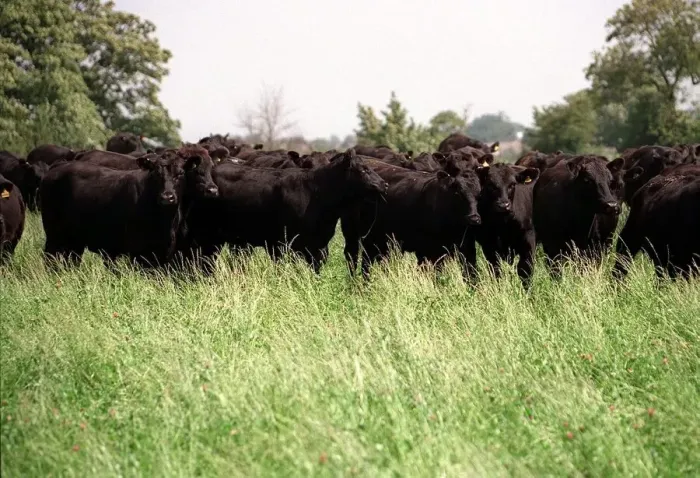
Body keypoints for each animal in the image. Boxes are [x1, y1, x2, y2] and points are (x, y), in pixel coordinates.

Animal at [40, 154, 187, 267]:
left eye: (180, 173)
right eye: (156, 174)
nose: (167, 197)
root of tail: (59, 165)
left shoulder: (165, 250)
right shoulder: (137, 249)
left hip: (75, 239)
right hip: (53, 234)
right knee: (50, 258)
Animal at [181, 149, 387, 273]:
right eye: (363, 169)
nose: (384, 184)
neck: (317, 192)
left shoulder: (319, 247)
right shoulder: (288, 245)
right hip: (205, 236)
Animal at [341, 161, 482, 278]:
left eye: (479, 194)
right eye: (458, 193)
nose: (474, 218)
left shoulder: (465, 247)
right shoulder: (426, 249)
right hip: (354, 234)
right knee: (355, 258)